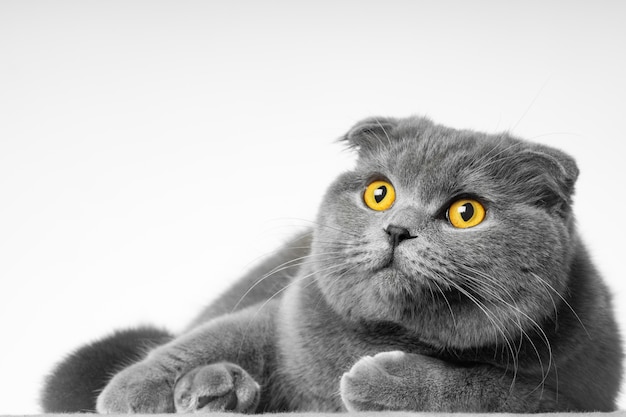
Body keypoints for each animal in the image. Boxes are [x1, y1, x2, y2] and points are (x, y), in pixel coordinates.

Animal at [42, 115, 620, 412]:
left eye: (466, 212)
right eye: (380, 194)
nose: (396, 228)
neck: (396, 332)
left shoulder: (575, 397)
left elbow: (489, 389)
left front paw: (383, 383)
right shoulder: (288, 311)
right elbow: (219, 335)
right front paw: (132, 390)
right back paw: (216, 389)